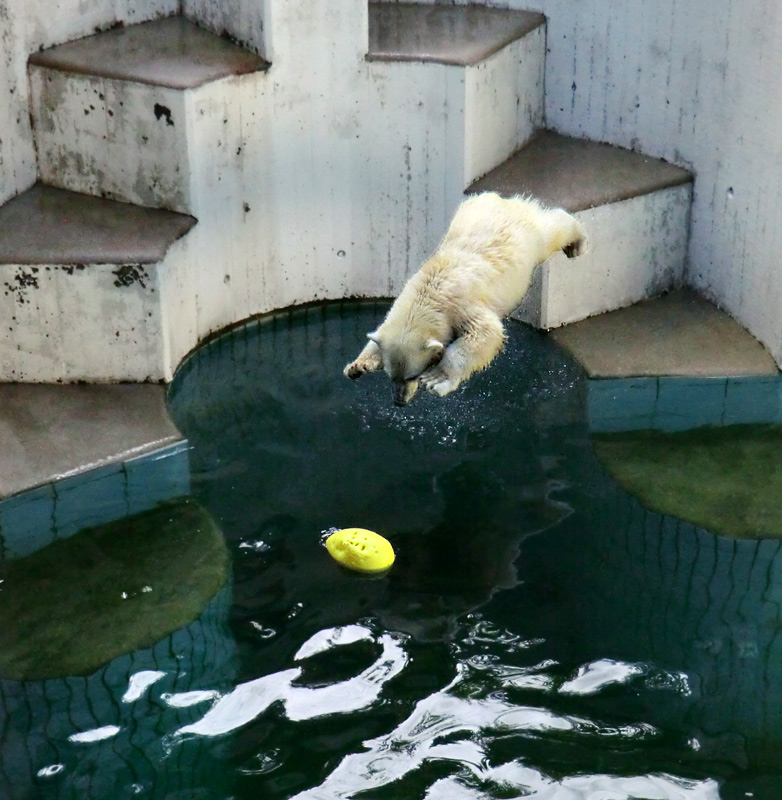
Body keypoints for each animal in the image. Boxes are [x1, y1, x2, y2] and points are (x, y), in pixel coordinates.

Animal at [344, 192, 588, 406]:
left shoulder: (460, 306)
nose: (399, 402)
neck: (429, 295)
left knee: (552, 230)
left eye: (413, 375)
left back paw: (577, 243)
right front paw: (357, 366)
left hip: (530, 237)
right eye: (391, 375)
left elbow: (485, 333)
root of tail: (501, 200)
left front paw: (436, 380)